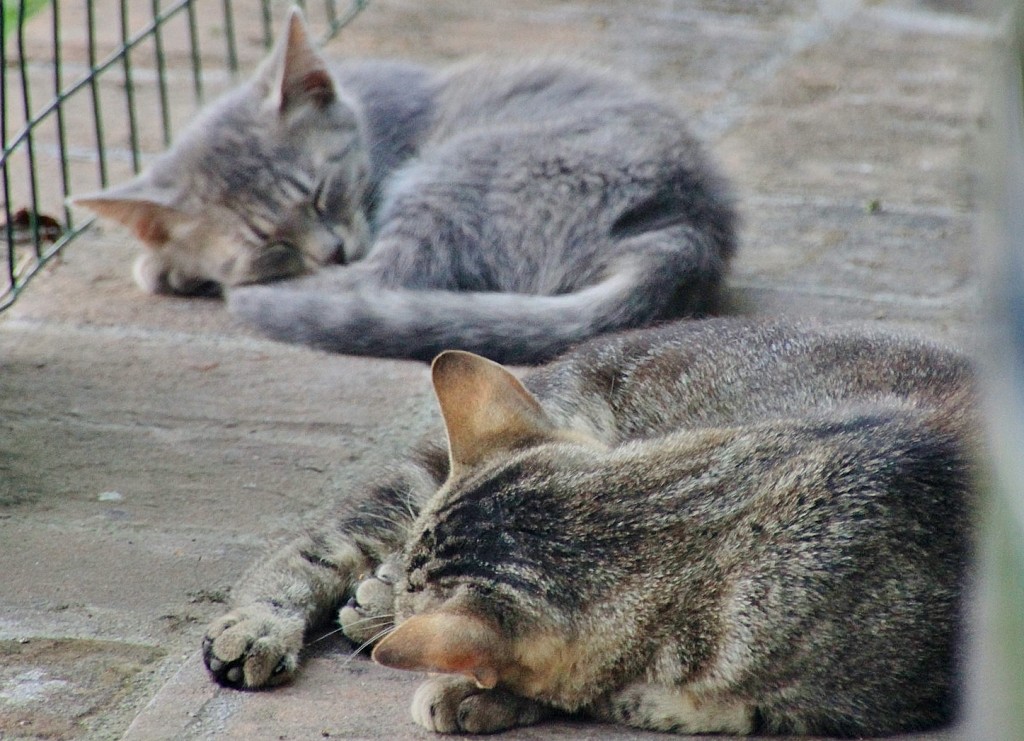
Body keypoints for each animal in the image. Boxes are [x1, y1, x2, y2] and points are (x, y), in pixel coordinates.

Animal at [77, 8, 737, 362]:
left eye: (324, 192)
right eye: (270, 239)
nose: (331, 250)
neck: (371, 116)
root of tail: (686, 226)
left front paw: (174, 268)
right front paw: (170, 260)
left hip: (450, 177)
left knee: (388, 278)